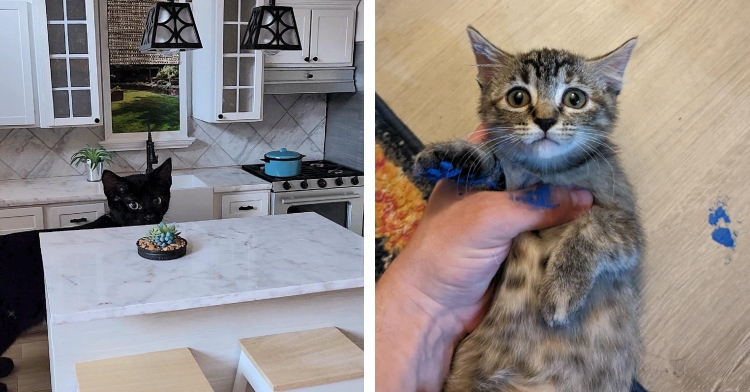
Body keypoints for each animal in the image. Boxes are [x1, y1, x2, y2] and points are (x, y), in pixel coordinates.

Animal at [414, 28, 644, 392]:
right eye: (518, 97)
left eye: (575, 98)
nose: (546, 120)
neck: (546, 172)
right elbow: (495, 167)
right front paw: (452, 156)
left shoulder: (627, 224)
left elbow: (593, 224)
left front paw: (561, 290)